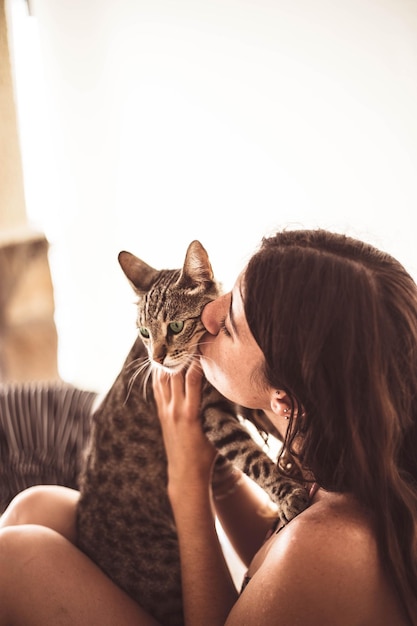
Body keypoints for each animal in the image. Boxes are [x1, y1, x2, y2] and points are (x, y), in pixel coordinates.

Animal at [76, 239, 308, 624]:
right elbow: (254, 459)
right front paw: (287, 492)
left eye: (175, 326)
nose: (157, 358)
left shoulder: (236, 400)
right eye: (145, 333)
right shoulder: (214, 415)